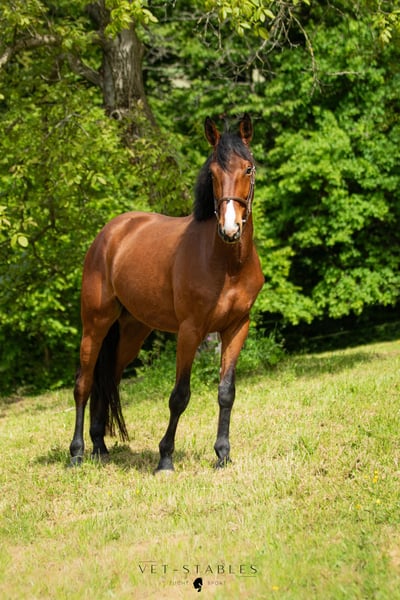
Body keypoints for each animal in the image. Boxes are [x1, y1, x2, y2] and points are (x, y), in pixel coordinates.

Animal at [69, 113, 264, 471]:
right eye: (213, 174)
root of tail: (109, 234)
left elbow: (226, 392)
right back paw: (76, 453)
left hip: (131, 332)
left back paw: (100, 447)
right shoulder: (189, 331)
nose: (230, 229)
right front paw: (165, 458)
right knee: (84, 384)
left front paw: (223, 454)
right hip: (95, 325)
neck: (226, 263)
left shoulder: (236, 327)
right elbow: (179, 396)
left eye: (248, 169)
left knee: (107, 381)